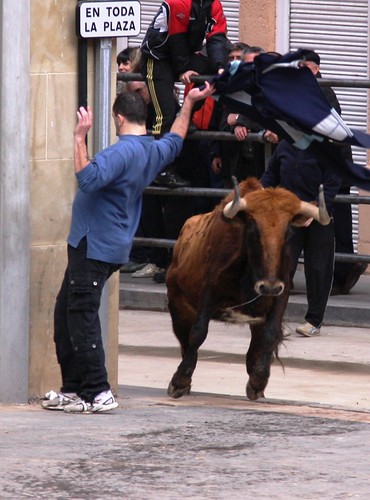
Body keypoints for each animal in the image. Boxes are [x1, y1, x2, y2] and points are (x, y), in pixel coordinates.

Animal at [166, 178, 328, 400]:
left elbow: (270, 334)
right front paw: (180, 380)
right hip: (178, 304)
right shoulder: (207, 293)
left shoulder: (280, 295)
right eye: (253, 230)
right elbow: (198, 333)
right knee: (184, 339)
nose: (269, 286)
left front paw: (258, 381)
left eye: (288, 233)